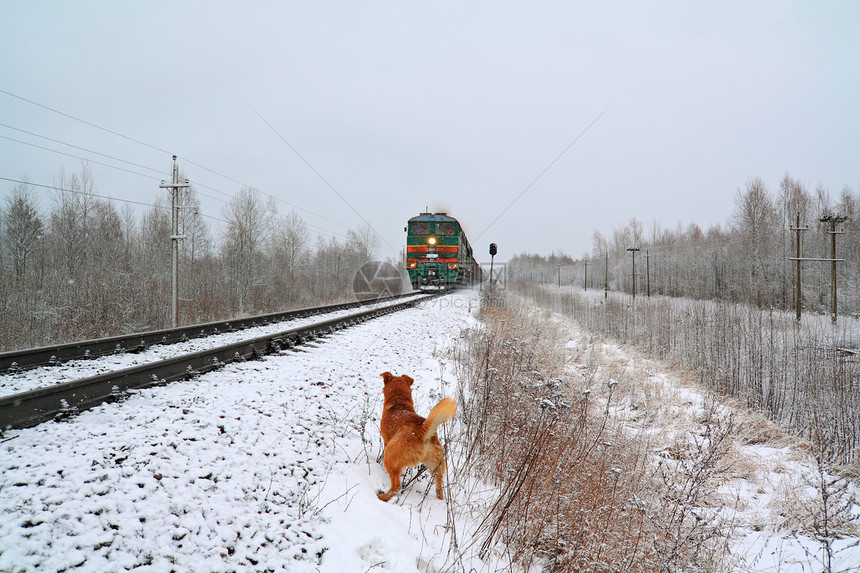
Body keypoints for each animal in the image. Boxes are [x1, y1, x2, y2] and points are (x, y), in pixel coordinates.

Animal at [376, 370, 456, 500]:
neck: (398, 400)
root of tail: (422, 432)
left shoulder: (387, 440)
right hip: (436, 467)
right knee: (439, 489)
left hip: (390, 455)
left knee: (396, 486)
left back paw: (383, 497)